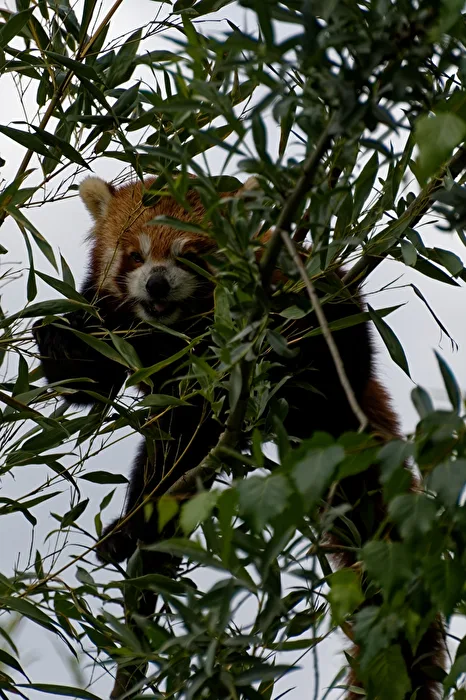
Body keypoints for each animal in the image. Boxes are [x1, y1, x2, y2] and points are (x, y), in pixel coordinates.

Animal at [33, 175, 445, 699]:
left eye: (188, 255)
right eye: (135, 256)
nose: (157, 283)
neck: (176, 330)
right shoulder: (116, 324)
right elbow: (91, 385)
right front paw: (57, 338)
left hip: (339, 354)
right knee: (163, 460)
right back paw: (138, 536)